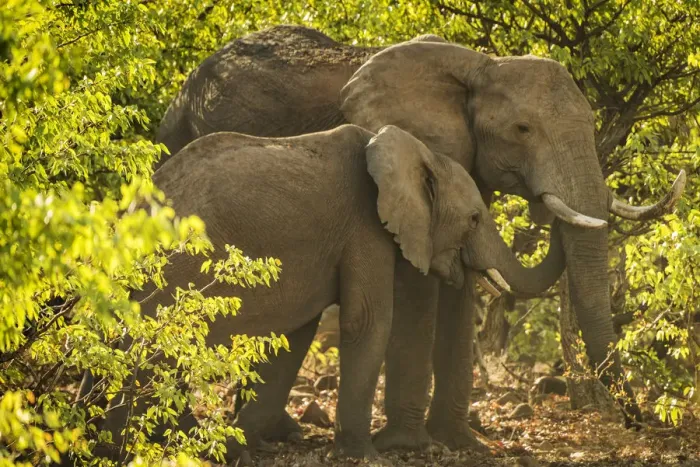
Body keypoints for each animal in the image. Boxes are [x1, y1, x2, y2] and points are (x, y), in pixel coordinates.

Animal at [99, 124, 565, 461]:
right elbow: (367, 320)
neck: (413, 152)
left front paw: (244, 442)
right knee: (159, 354)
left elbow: (294, 333)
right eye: (473, 219)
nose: (547, 201)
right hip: (178, 273)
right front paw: (364, 457)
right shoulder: (365, 227)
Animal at [155, 25, 686, 452]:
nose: (640, 424)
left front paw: (461, 444)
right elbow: (416, 288)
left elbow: (460, 286)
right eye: (522, 128)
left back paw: (278, 433)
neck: (480, 65)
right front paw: (409, 446)